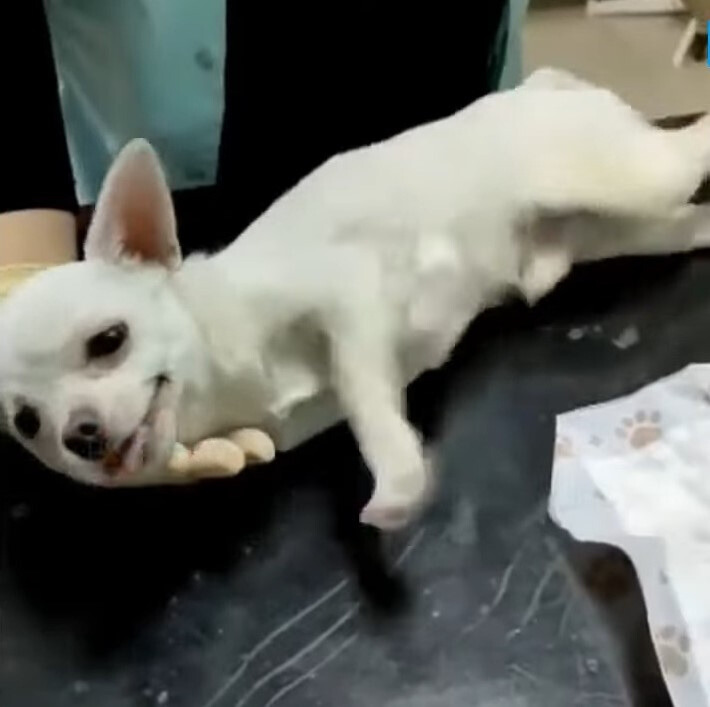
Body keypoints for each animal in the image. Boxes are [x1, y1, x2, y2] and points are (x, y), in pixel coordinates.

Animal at [1, 68, 710, 532]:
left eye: (109, 341)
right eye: (28, 424)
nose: (80, 434)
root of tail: (543, 86)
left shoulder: (347, 302)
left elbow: (366, 399)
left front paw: (398, 485)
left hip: (625, 174)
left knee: (688, 145)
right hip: (624, 229)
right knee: (690, 222)